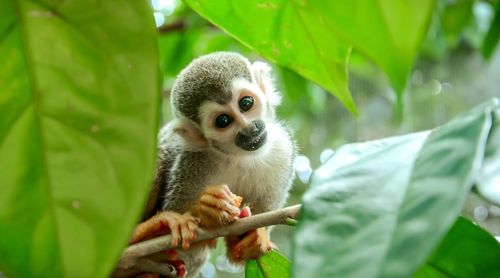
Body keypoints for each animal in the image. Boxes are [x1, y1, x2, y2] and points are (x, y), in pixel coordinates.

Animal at [134, 52, 296, 278]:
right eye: (223, 121)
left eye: (246, 103)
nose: (249, 129)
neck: (239, 157)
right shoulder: (192, 163)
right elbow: (181, 238)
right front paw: (208, 209)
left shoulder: (282, 151)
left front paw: (253, 238)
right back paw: (145, 232)